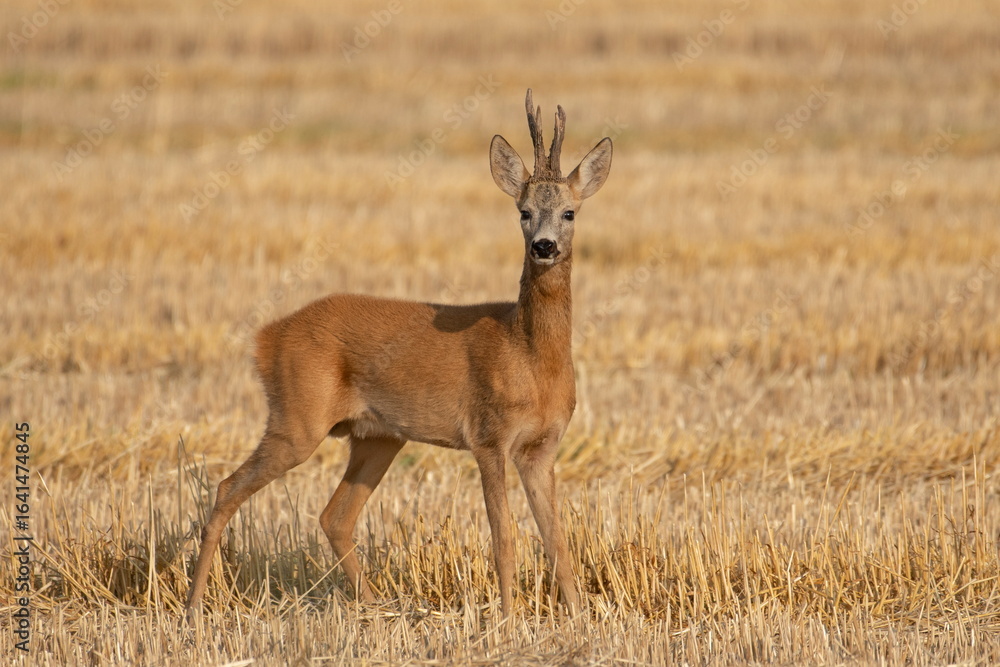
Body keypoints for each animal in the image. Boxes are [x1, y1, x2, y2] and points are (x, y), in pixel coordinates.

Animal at [185, 89, 612, 617]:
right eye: (523, 211)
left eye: (570, 212)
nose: (544, 246)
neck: (529, 357)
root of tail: (266, 337)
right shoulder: (488, 436)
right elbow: (504, 539)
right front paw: (509, 619)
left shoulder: (541, 448)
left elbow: (558, 541)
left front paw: (577, 617)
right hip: (297, 419)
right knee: (228, 488)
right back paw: (194, 606)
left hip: (378, 436)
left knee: (334, 516)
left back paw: (375, 607)